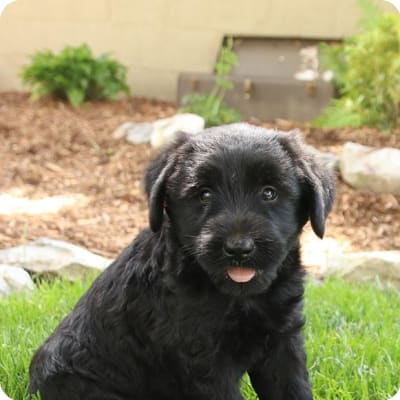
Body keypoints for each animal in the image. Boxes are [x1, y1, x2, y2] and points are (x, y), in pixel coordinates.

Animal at [28, 123, 334, 398]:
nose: (238, 248)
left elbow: (293, 389)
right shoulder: (203, 359)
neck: (240, 297)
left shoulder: (283, 341)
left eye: (269, 192)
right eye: (204, 194)